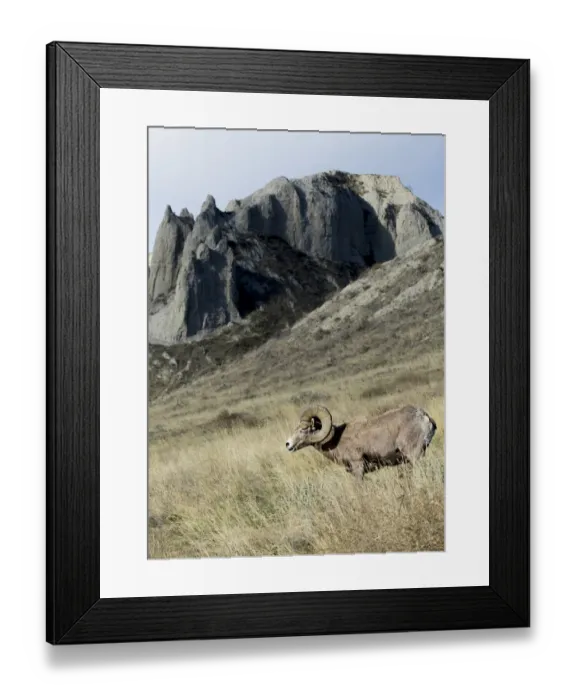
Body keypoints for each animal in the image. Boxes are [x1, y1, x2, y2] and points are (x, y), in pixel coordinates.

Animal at [285, 404, 437, 480]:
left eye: (304, 429)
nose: (288, 444)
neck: (336, 441)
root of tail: (424, 417)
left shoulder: (358, 467)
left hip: (413, 455)